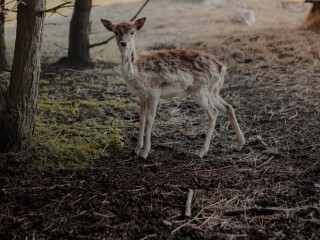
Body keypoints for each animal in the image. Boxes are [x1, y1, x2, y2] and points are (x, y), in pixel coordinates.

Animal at [100, 16, 245, 159]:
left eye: (132, 32)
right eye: (116, 32)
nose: (124, 43)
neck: (136, 71)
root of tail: (222, 68)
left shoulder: (154, 91)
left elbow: (150, 119)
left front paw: (145, 153)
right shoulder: (142, 95)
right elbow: (141, 117)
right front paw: (136, 149)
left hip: (200, 90)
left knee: (213, 112)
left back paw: (201, 152)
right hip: (213, 91)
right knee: (228, 107)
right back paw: (239, 144)